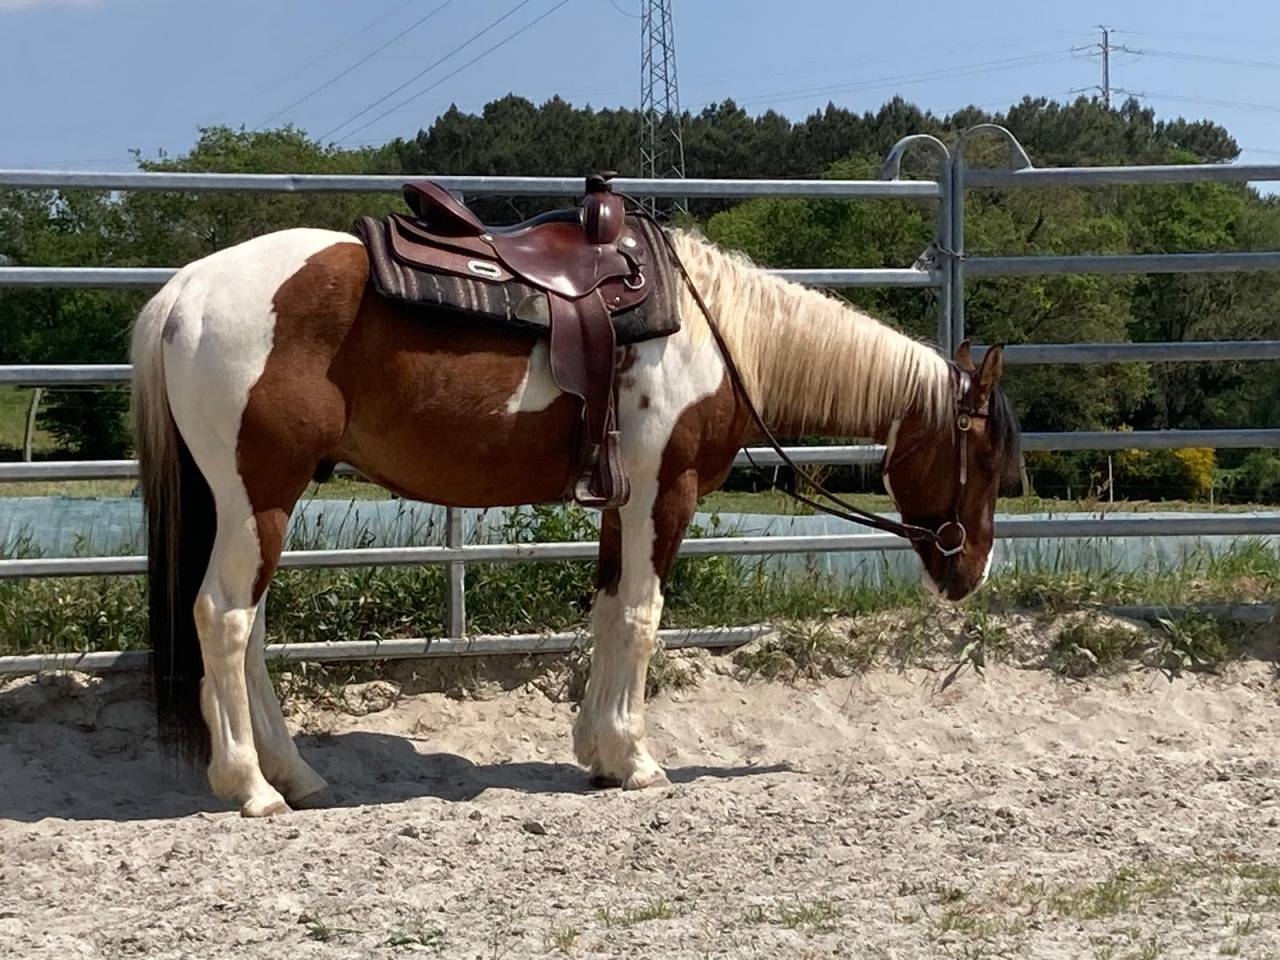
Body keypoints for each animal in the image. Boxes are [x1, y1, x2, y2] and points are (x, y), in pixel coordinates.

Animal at [130, 225, 1021, 817]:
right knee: (224, 618)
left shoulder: (620, 503)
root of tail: (186, 292)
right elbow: (642, 616)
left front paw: (598, 752)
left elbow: (605, 612)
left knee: (247, 630)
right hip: (258, 495)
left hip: (252, 505)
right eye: (986, 457)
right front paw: (636, 760)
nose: (972, 571)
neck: (713, 333)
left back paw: (295, 775)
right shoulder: (666, 491)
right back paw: (250, 787)